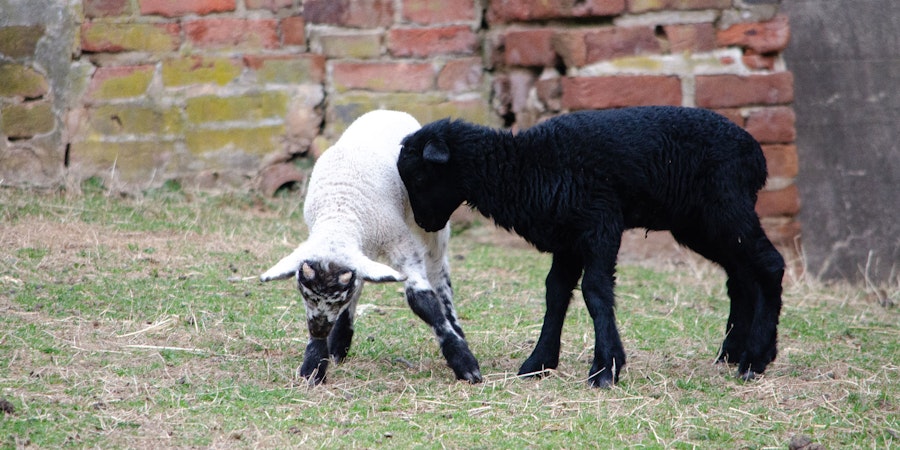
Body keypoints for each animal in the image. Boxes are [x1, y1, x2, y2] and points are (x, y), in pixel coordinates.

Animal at [260, 109, 481, 385]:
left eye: (338, 297)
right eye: (304, 292)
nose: (319, 329)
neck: (341, 210)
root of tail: (388, 111)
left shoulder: (400, 242)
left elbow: (423, 301)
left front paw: (463, 361)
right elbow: (356, 286)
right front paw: (315, 362)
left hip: (430, 223)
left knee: (439, 271)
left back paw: (455, 324)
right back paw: (339, 342)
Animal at [397, 106, 785, 388]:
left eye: (419, 176)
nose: (425, 224)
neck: (523, 166)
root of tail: (757, 156)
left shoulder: (601, 223)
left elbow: (595, 291)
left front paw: (604, 369)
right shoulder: (567, 236)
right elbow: (555, 292)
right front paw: (538, 363)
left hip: (725, 206)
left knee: (770, 264)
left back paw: (754, 360)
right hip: (700, 224)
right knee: (741, 276)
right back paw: (735, 353)